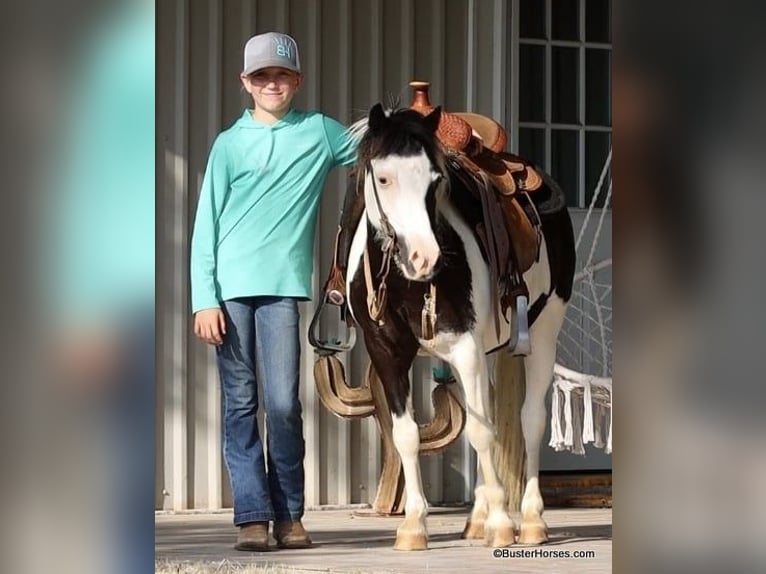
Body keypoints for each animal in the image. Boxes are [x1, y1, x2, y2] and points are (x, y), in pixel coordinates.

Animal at [344, 104, 572, 552]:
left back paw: (530, 520)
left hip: (543, 332)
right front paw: (414, 526)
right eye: (384, 178)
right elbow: (406, 434)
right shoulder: (386, 351)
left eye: (436, 180)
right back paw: (477, 519)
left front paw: (503, 523)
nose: (424, 258)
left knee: (530, 420)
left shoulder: (465, 346)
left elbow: (483, 434)